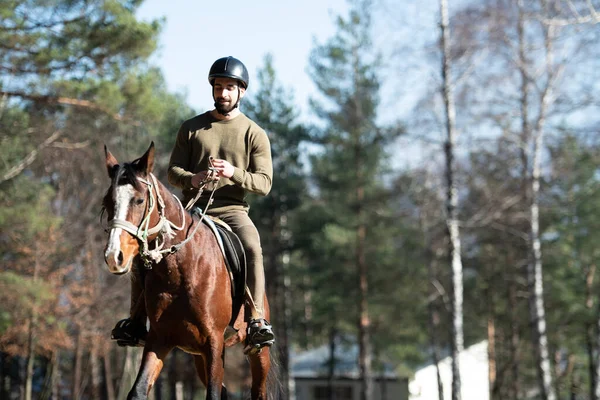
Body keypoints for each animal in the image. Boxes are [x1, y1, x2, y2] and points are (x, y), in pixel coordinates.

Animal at [101, 142, 274, 398]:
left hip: (257, 354)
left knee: (257, 389)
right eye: (107, 202)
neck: (181, 270)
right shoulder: (159, 340)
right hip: (199, 357)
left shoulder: (214, 342)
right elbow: (138, 390)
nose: (114, 256)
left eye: (139, 201)